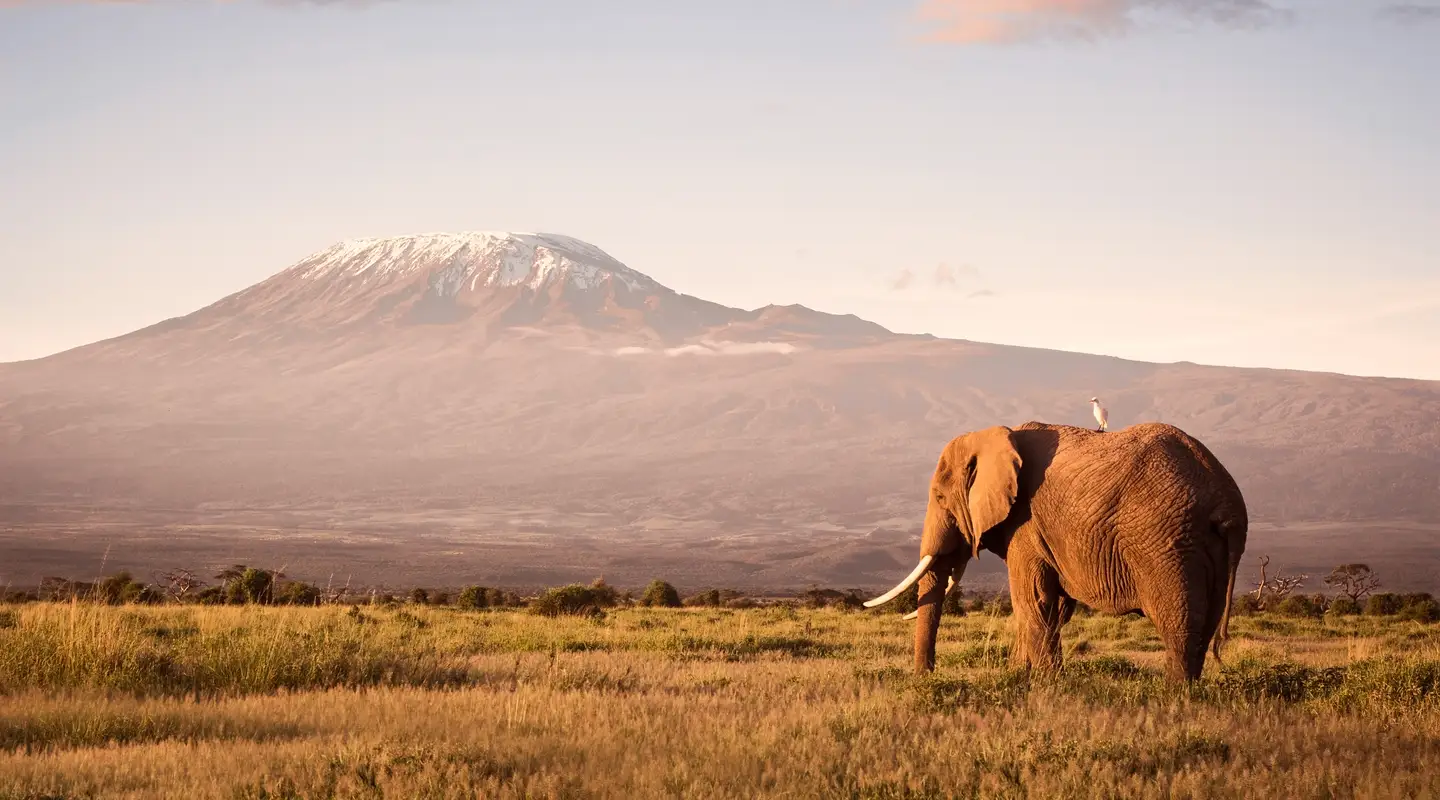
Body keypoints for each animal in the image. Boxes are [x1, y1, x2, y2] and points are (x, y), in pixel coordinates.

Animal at [864, 421, 1248, 683]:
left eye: (940, 498)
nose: (926, 676)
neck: (995, 434)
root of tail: (1225, 502)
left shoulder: (1026, 525)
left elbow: (1032, 601)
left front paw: (1047, 685)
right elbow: (1053, 607)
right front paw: (1018, 677)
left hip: (1166, 544)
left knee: (1178, 624)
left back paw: (1173, 696)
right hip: (1205, 548)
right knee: (1205, 624)